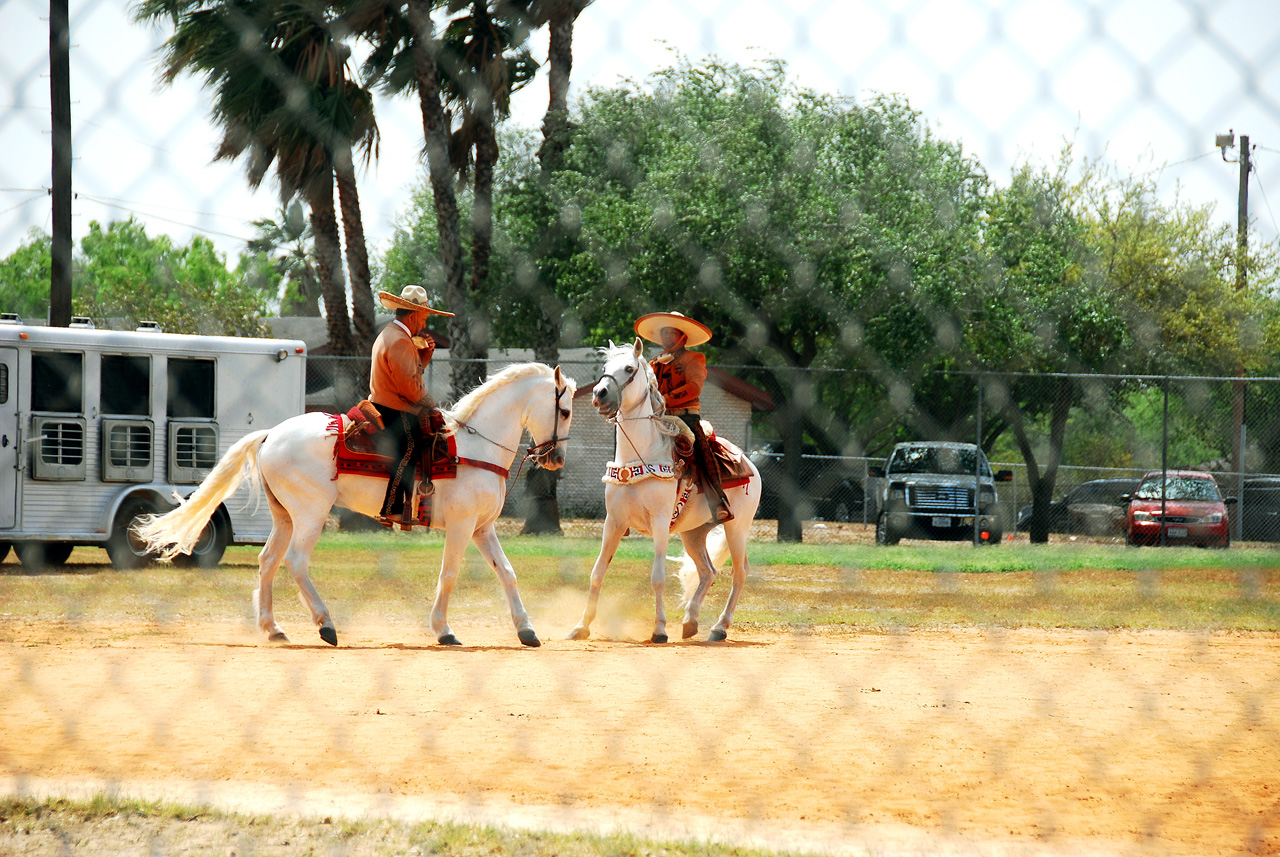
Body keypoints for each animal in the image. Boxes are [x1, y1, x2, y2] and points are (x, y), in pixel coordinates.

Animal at [137, 363, 573, 652]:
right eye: (566, 410)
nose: (556, 459)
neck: (473, 448)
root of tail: (271, 435)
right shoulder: (462, 527)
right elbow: (449, 576)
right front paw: (444, 630)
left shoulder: (483, 528)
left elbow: (508, 573)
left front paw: (527, 631)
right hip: (311, 514)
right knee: (295, 561)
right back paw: (325, 624)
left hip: (285, 517)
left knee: (268, 561)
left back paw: (273, 628)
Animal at [570, 342, 757, 644]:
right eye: (605, 368)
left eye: (629, 369)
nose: (600, 394)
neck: (640, 455)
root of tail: (751, 464)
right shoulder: (613, 522)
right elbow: (597, 572)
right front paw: (581, 626)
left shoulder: (659, 522)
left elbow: (657, 577)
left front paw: (659, 629)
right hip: (693, 534)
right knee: (708, 572)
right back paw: (690, 621)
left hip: (737, 528)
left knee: (739, 573)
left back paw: (719, 628)